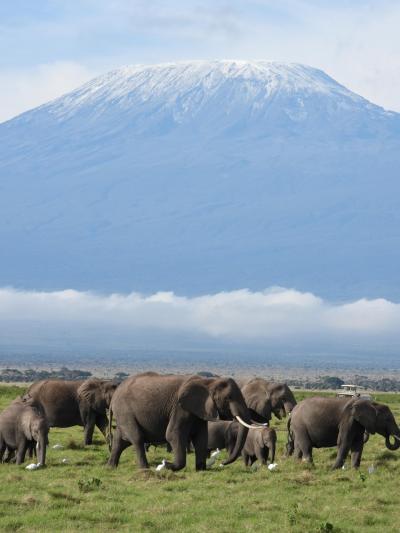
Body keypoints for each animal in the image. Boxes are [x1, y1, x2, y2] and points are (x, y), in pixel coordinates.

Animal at [107, 370, 262, 470]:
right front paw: (168, 466)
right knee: (137, 438)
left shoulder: (199, 410)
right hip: (125, 411)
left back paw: (110, 467)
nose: (223, 462)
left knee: (119, 441)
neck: (208, 382)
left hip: (123, 414)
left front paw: (201, 469)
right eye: (228, 398)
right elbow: (173, 434)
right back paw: (145, 469)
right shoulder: (180, 407)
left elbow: (201, 437)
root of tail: (114, 397)